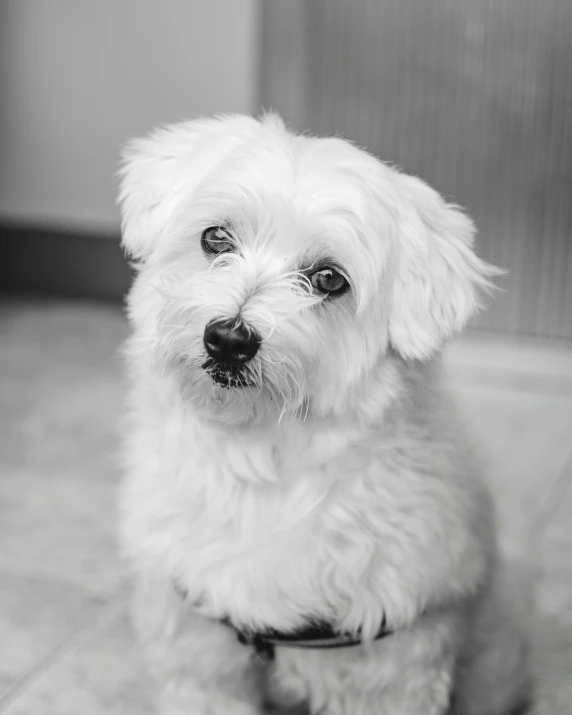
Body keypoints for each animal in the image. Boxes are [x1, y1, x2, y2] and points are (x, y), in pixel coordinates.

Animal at [117, 114, 532, 712]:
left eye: (330, 279)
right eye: (215, 237)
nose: (228, 339)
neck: (262, 460)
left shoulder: (391, 665)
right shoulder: (199, 656)